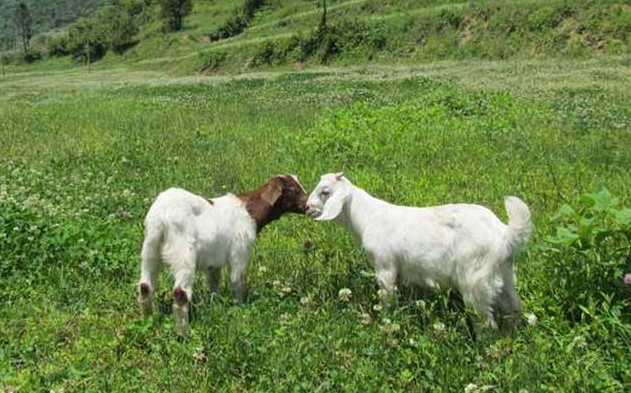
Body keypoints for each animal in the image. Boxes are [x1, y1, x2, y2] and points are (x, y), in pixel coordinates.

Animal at [139, 175, 308, 334]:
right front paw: (240, 308)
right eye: (292, 190)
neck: (250, 212)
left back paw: (148, 322)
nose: (307, 205)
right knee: (181, 293)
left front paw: (215, 306)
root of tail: (161, 217)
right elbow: (235, 281)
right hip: (183, 254)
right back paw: (183, 334)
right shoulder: (240, 252)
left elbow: (214, 284)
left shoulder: (213, 262)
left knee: (145, 286)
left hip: (150, 248)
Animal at [306, 173, 532, 326]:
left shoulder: (385, 266)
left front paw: (385, 321)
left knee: (486, 323)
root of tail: (504, 234)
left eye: (325, 192)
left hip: (475, 280)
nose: (307, 207)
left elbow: (387, 298)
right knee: (514, 308)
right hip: (506, 274)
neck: (366, 217)